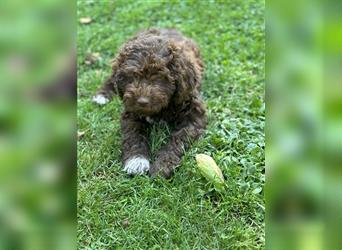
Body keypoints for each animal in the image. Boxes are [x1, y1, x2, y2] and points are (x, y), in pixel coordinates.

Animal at [92, 28, 207, 179]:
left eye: (160, 77)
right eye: (132, 76)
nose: (142, 101)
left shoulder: (193, 115)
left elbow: (178, 139)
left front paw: (162, 165)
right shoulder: (131, 112)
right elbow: (133, 135)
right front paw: (136, 161)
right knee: (111, 78)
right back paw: (102, 95)